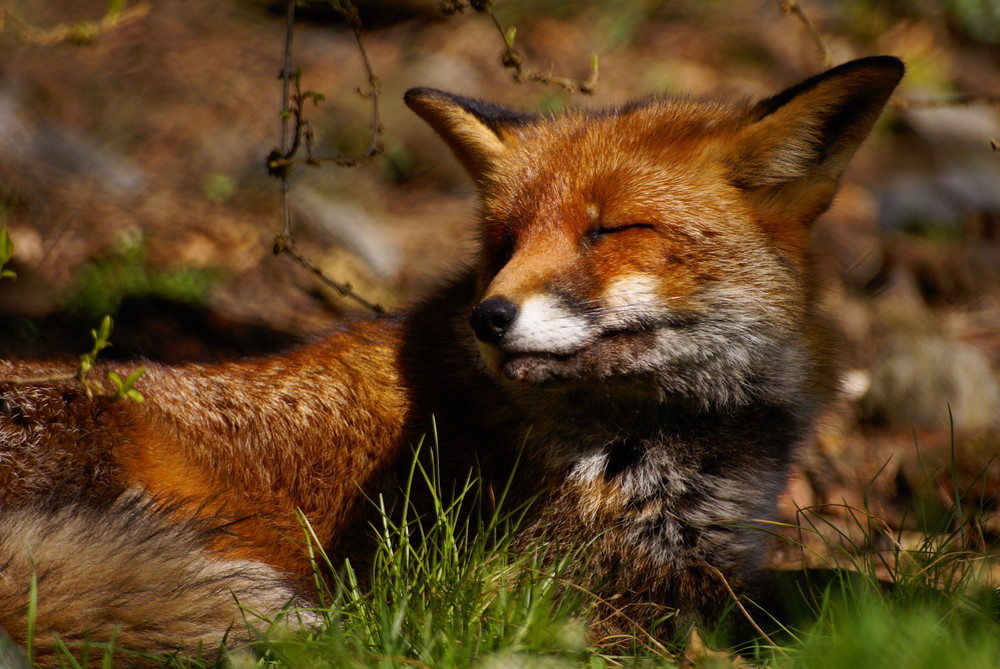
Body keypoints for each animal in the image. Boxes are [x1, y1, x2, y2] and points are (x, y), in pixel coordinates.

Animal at [0, 57, 904, 664]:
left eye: (608, 230)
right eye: (505, 243)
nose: (489, 317)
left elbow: (837, 584)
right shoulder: (560, 588)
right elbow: (815, 597)